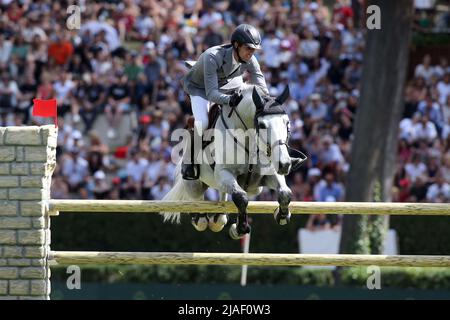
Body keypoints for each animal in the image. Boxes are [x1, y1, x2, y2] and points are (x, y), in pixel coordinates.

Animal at [162, 83, 306, 240]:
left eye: (287, 122)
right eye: (262, 125)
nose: (284, 164)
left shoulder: (268, 175)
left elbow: (285, 193)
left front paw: (282, 216)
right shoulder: (224, 173)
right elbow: (241, 197)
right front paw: (240, 229)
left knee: (221, 204)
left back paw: (217, 219)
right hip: (194, 185)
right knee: (198, 204)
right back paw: (198, 217)